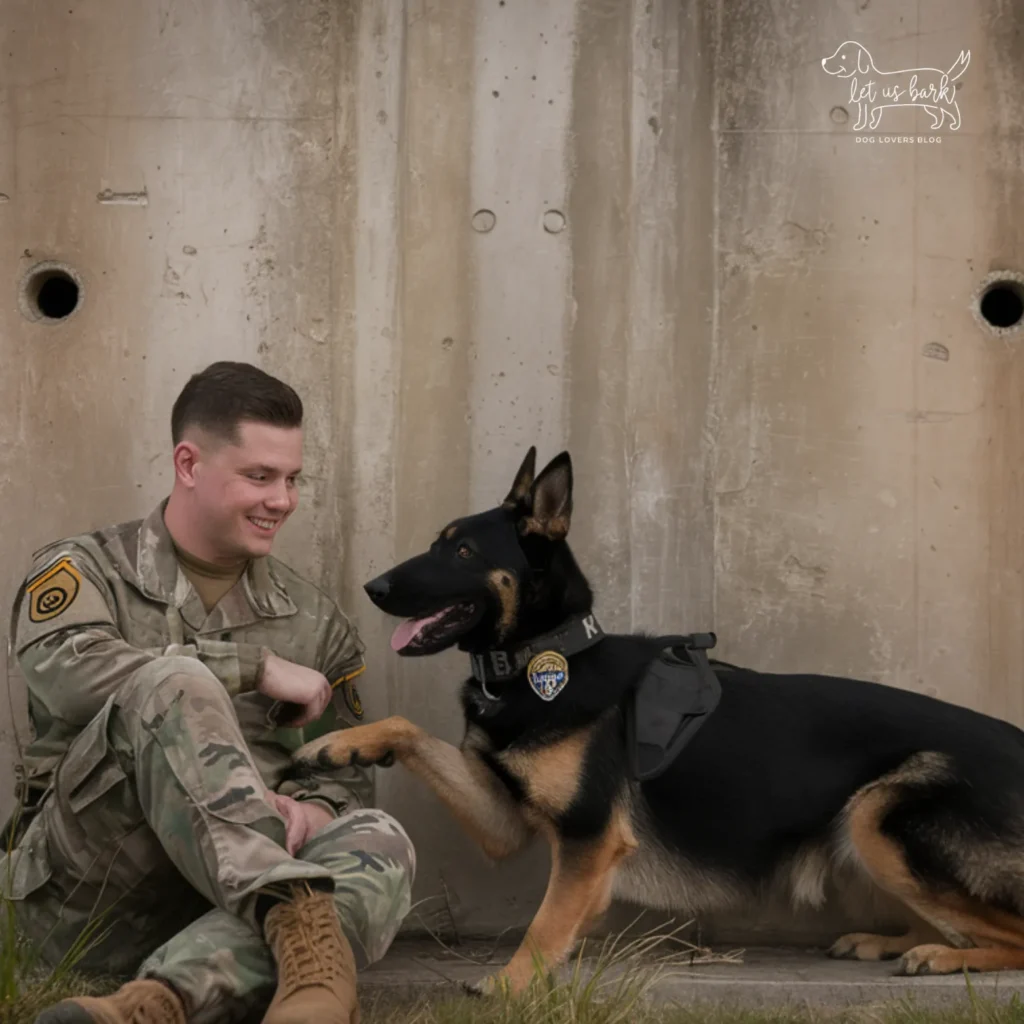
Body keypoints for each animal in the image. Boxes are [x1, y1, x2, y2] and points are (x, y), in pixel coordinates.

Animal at [294, 446, 1024, 991]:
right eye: (435, 545)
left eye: (465, 552)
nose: (374, 589)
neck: (548, 657)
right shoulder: (505, 823)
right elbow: (406, 728)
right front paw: (339, 745)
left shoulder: (589, 840)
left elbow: (546, 923)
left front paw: (507, 985)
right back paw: (889, 941)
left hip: (880, 817)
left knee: (1006, 930)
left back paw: (942, 956)